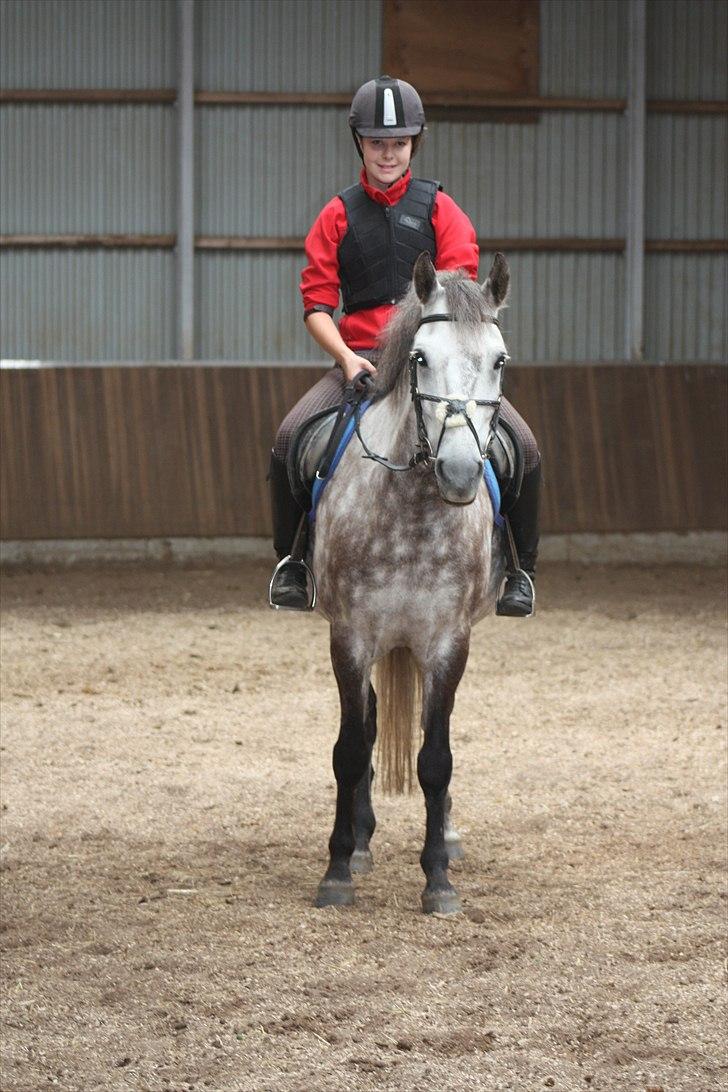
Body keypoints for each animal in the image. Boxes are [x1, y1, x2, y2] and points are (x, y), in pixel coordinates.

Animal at [312, 251, 511, 914]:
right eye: (420, 357)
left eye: (499, 361)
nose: (459, 470)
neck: (414, 512)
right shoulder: (350, 637)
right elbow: (351, 749)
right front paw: (338, 869)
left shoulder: (449, 641)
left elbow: (436, 757)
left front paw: (438, 878)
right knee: (371, 723)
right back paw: (361, 842)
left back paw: (444, 837)